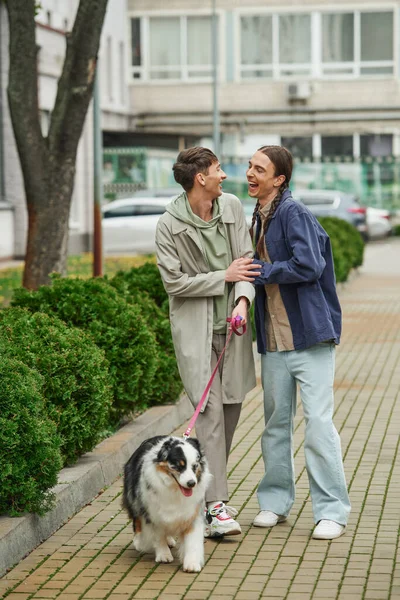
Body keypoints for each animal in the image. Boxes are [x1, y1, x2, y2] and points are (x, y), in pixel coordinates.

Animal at [122, 436, 211, 572]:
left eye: (195, 466)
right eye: (179, 466)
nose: (191, 483)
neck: (174, 489)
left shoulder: (193, 512)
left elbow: (193, 539)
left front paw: (192, 563)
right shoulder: (153, 513)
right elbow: (158, 535)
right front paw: (163, 555)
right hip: (133, 497)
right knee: (137, 520)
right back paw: (139, 541)